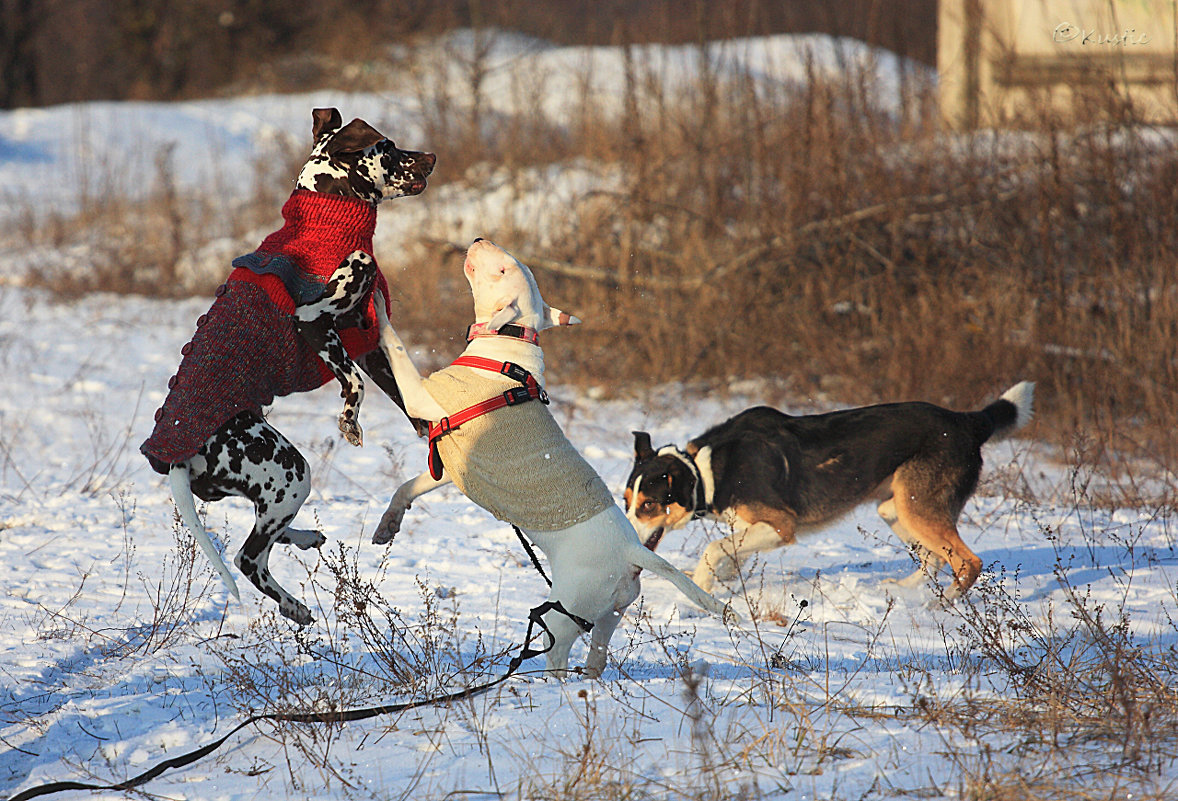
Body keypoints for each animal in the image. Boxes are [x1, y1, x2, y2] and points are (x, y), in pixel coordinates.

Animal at [141, 106, 435, 621]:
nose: (433, 157)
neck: (328, 217)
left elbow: (399, 392)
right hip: (291, 471)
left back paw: (304, 540)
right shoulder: (315, 321)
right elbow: (354, 382)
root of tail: (175, 458)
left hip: (262, 487)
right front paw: (349, 421)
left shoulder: (363, 337)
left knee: (268, 534)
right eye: (390, 147)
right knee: (248, 555)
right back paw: (294, 606)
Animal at [372, 236, 730, 673]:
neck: (509, 341)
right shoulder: (449, 458)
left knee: (557, 654)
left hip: (565, 612)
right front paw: (388, 526)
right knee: (597, 657)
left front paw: (374, 301)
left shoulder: (423, 399)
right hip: (609, 614)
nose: (478, 239)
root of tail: (632, 551)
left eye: (504, 269)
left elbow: (396, 345)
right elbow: (408, 487)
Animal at [621, 384, 1036, 600]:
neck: (708, 471)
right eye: (626, 501)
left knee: (969, 563)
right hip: (896, 509)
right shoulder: (750, 529)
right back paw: (906, 592)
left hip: (916, 508)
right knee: (934, 558)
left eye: (648, 505)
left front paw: (701, 586)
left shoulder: (780, 526)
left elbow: (712, 549)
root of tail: (968, 422)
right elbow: (728, 552)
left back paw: (941, 605)